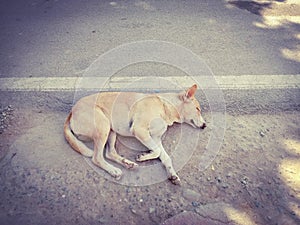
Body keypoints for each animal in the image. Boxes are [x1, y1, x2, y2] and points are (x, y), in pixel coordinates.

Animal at [64, 84, 206, 185]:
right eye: (197, 109)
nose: (205, 125)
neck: (164, 106)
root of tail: (72, 111)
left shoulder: (156, 139)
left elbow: (165, 157)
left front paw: (172, 174)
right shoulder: (139, 130)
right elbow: (157, 152)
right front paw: (143, 156)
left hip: (111, 130)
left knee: (110, 153)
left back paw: (127, 163)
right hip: (103, 126)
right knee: (97, 157)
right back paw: (114, 170)